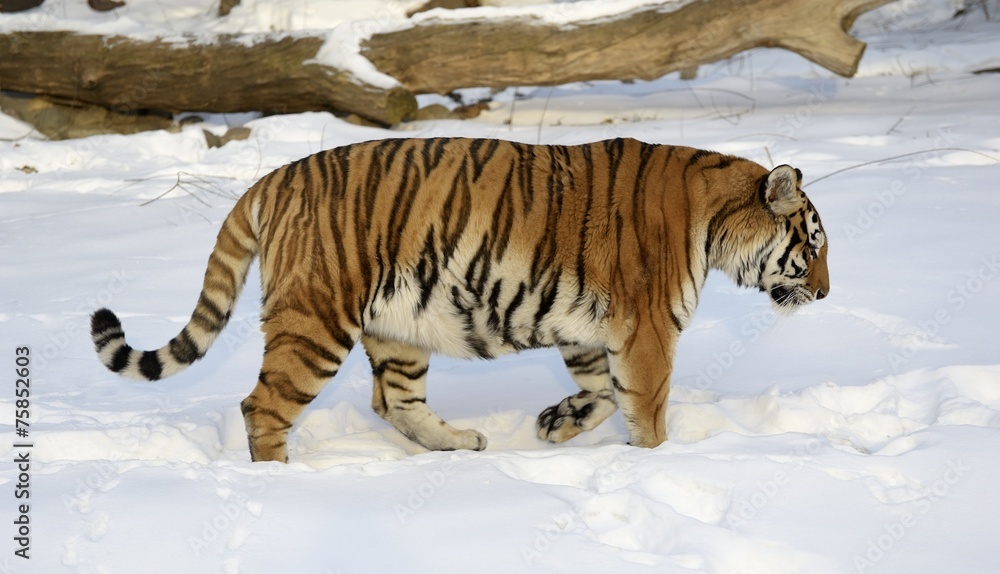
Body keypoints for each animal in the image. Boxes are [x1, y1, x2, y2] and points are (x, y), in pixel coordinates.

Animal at [90, 138, 829, 463]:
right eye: (813, 243)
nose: (824, 292)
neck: (715, 219)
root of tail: (269, 180)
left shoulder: (590, 329)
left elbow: (601, 391)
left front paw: (556, 423)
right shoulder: (646, 330)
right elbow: (644, 407)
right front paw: (655, 461)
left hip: (397, 326)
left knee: (393, 401)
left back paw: (459, 444)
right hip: (315, 320)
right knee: (263, 405)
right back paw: (280, 480)